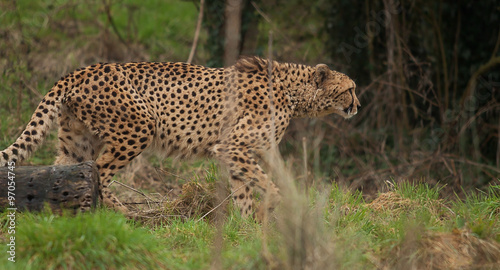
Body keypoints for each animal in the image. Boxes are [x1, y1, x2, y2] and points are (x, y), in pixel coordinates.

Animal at [0, 56, 360, 219]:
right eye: (350, 89)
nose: (358, 105)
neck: (293, 92)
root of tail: (81, 70)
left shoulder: (236, 151)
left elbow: (244, 189)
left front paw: (248, 227)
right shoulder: (233, 145)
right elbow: (264, 182)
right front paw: (275, 206)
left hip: (76, 142)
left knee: (63, 173)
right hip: (139, 126)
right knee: (99, 171)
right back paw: (126, 213)